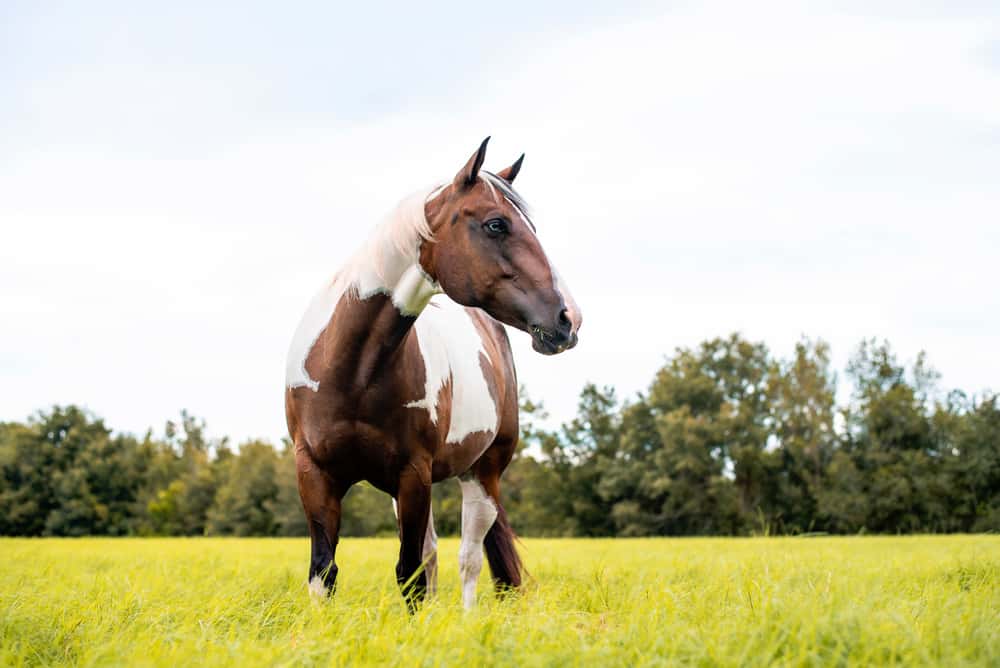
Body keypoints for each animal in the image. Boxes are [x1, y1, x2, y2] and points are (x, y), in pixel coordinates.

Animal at [284, 137, 580, 612]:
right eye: (496, 224)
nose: (568, 318)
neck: (352, 371)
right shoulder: (314, 473)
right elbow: (324, 573)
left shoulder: (413, 474)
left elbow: (410, 574)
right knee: (435, 552)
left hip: (482, 474)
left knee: (468, 559)